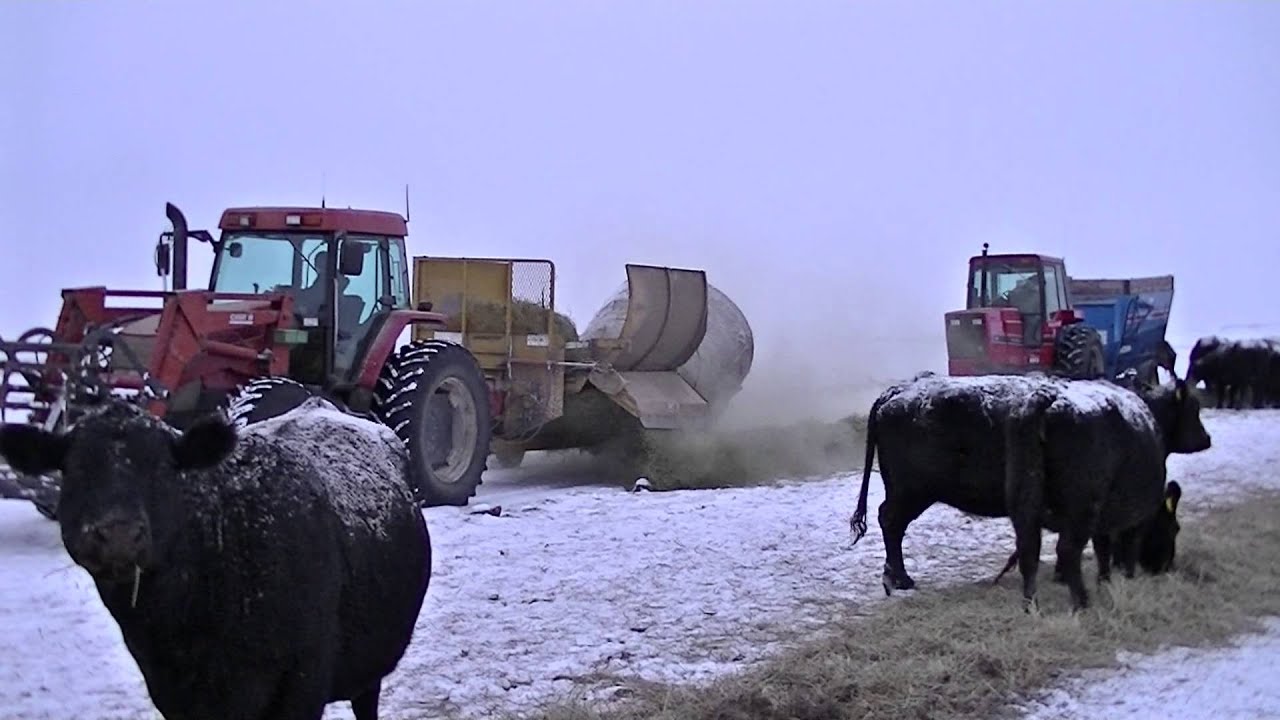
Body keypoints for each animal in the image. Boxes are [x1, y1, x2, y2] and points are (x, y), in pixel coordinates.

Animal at [848, 372, 1210, 611]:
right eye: (1193, 410)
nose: (1206, 439)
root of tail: (896, 391)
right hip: (913, 492)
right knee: (891, 521)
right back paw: (899, 578)